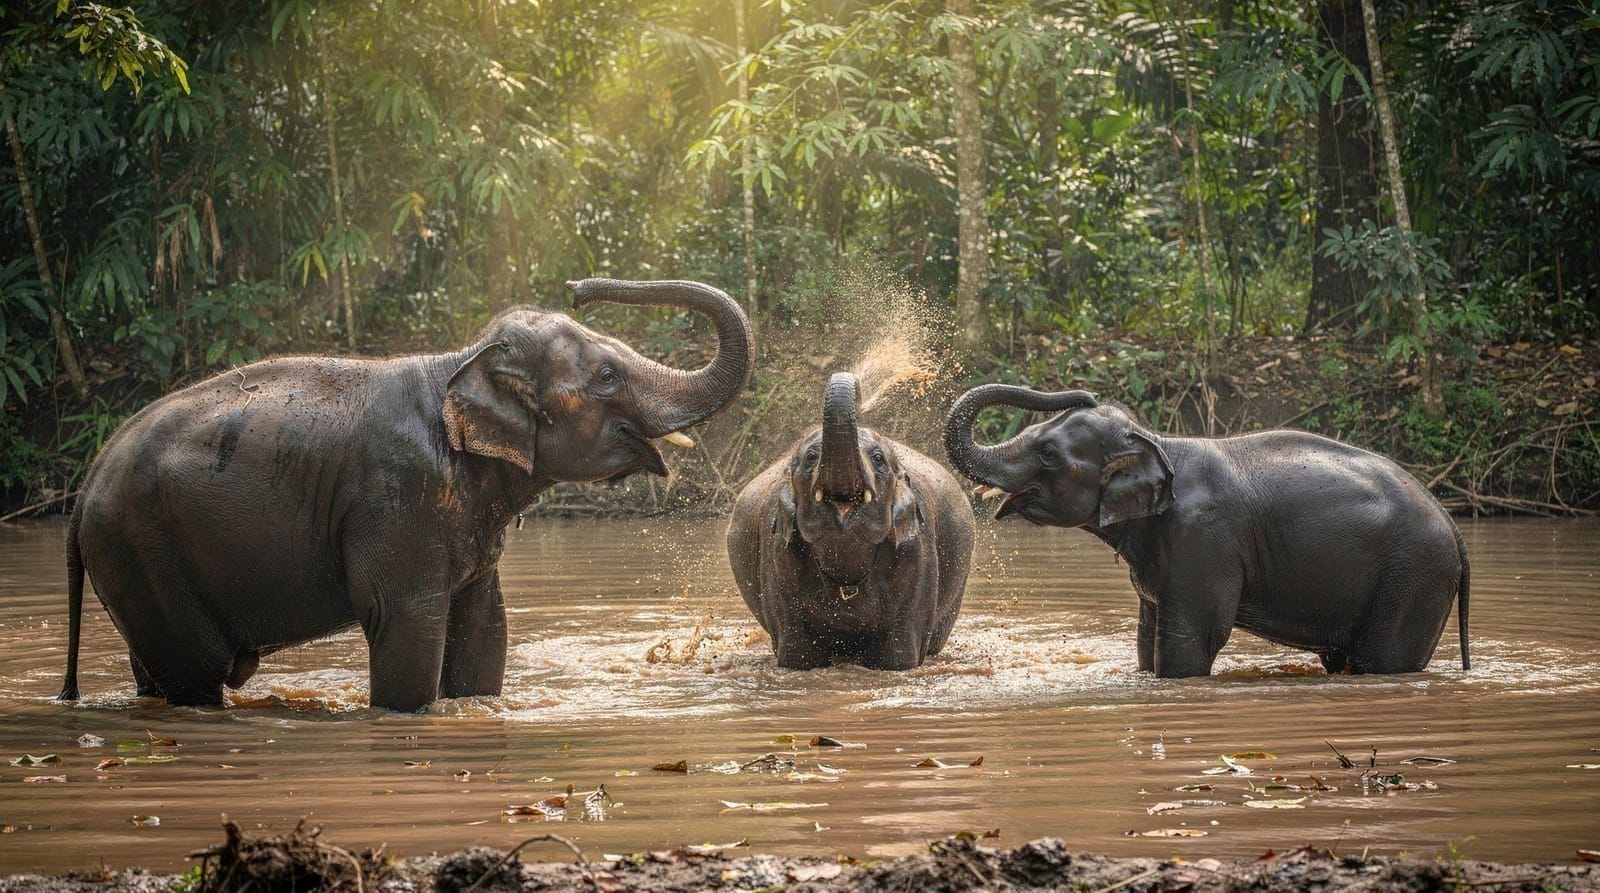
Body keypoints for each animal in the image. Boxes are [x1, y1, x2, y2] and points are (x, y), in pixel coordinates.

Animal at [59, 278, 752, 711]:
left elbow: (485, 625)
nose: (578, 286)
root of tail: (83, 487)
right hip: (141, 553)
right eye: (607, 376)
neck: (460, 361)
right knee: (195, 672)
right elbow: (407, 624)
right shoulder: (399, 501)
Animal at [727, 372, 974, 670]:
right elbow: (797, 655)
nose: (858, 390)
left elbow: (898, 658)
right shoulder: (778, 557)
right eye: (811, 457)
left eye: (878, 458)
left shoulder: (916, 556)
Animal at [944, 385, 1470, 677]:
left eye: (1049, 453)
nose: (1089, 394)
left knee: (1383, 659)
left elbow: (1192, 641)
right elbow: (1147, 641)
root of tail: (1452, 522)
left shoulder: (1201, 542)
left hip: (1413, 579)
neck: (1158, 440)